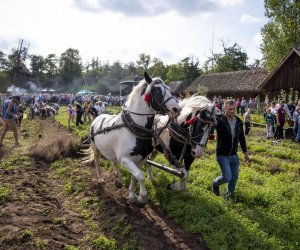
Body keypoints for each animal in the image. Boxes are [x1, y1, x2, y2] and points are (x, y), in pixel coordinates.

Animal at [82, 72, 180, 205]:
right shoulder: (125, 159)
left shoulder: (141, 159)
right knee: (97, 161)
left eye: (169, 89)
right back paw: (101, 178)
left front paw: (132, 195)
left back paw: (118, 180)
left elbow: (135, 177)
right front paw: (142, 197)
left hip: (111, 150)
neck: (135, 128)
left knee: (113, 161)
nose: (177, 109)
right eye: (157, 91)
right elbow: (140, 176)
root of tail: (98, 116)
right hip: (95, 147)